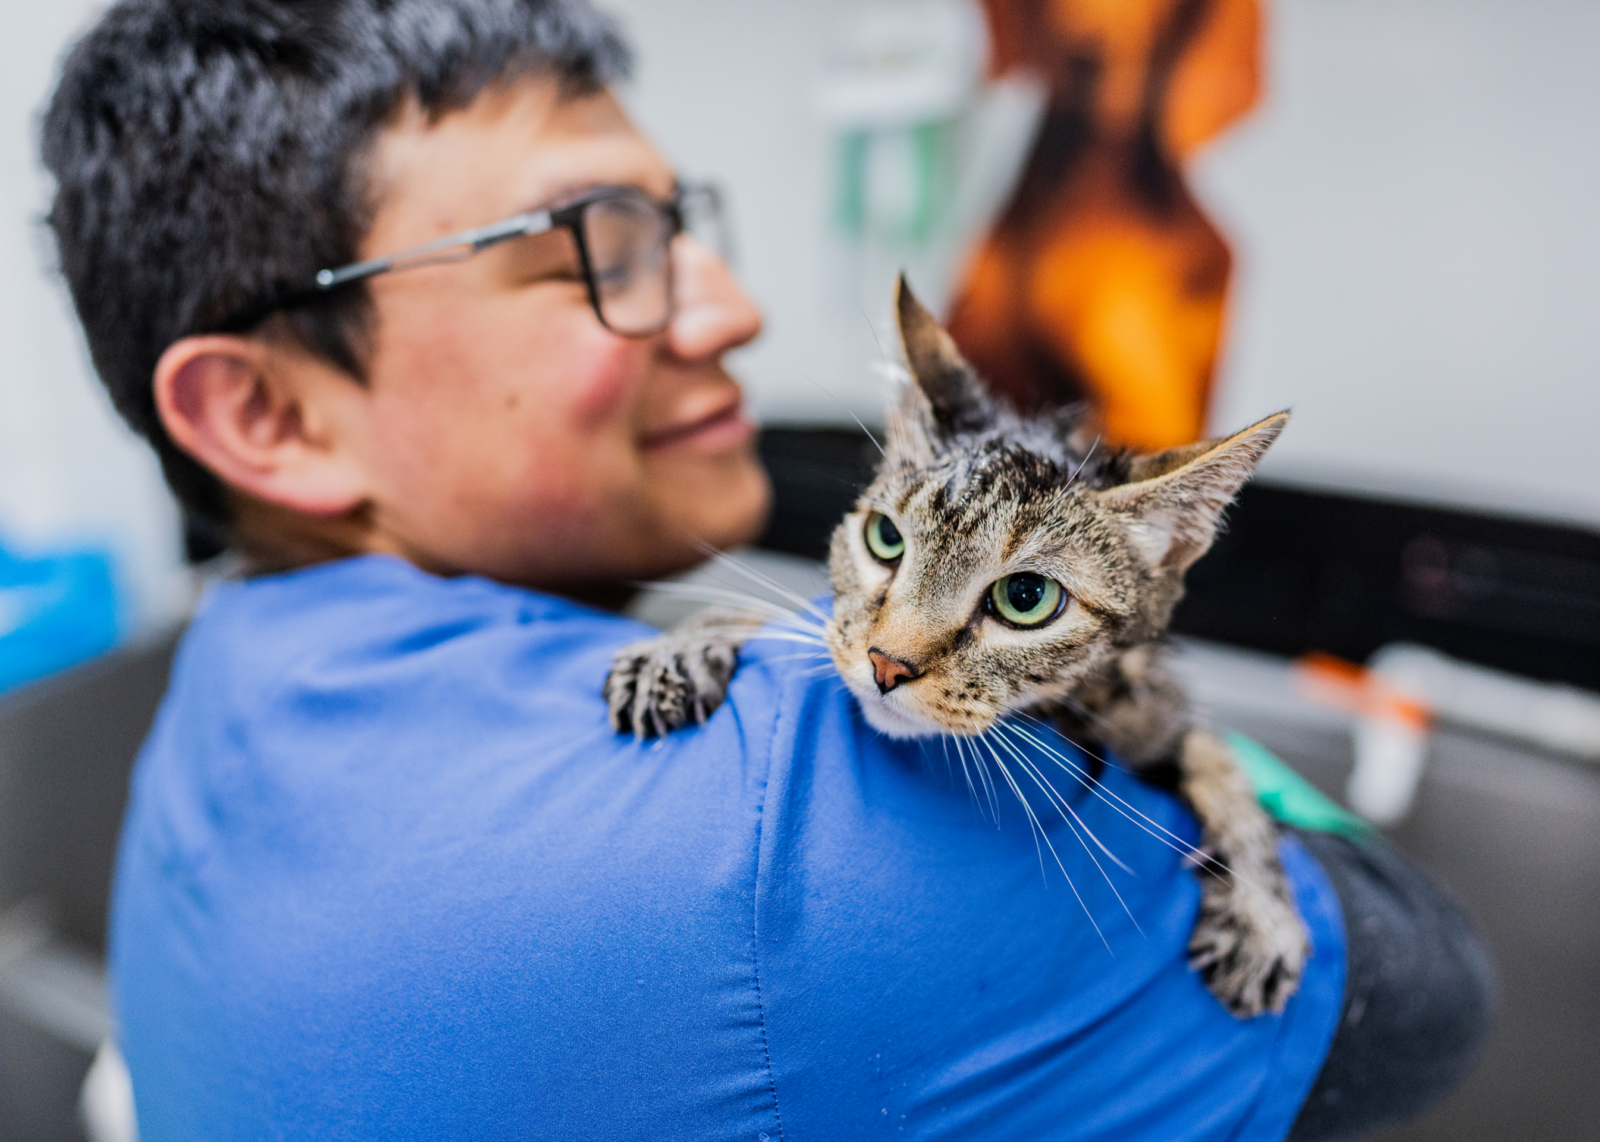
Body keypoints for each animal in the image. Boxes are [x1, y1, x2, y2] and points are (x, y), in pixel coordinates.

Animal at [604, 275, 1305, 1017]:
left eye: (1026, 597)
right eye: (885, 538)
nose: (886, 664)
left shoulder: (1152, 706)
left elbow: (1216, 755)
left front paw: (1262, 912)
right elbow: (802, 620)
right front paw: (684, 646)